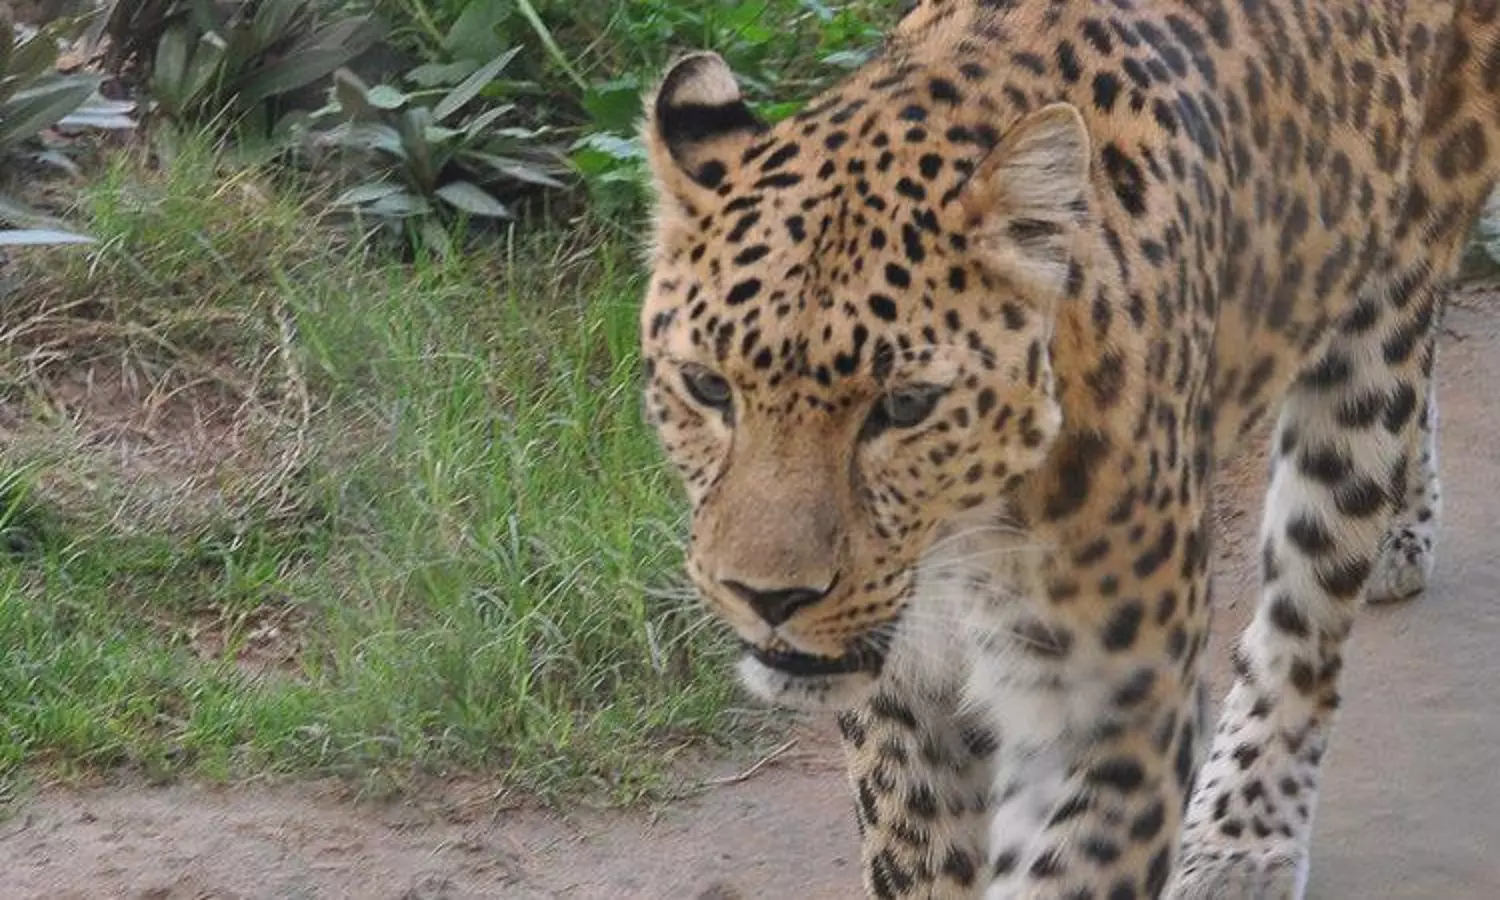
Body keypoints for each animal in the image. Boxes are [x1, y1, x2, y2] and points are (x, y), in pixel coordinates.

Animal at [636, 0, 1484, 897]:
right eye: (707, 387)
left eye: (905, 405)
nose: (768, 598)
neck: (961, 544)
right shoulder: (904, 708)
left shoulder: (1109, 714)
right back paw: (1402, 527)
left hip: (1388, 290)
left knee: (1306, 616)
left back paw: (1242, 838)